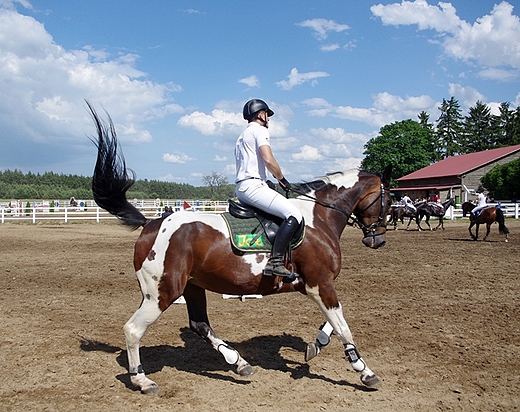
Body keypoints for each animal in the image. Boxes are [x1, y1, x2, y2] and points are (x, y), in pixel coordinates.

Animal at [87, 104, 392, 394]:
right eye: (388, 200)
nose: (377, 240)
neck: (319, 218)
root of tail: (151, 223)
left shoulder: (317, 286)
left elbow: (335, 322)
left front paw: (316, 345)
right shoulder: (321, 282)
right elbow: (343, 326)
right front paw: (364, 371)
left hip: (191, 286)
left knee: (199, 324)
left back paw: (239, 363)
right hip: (161, 293)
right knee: (133, 329)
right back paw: (142, 380)